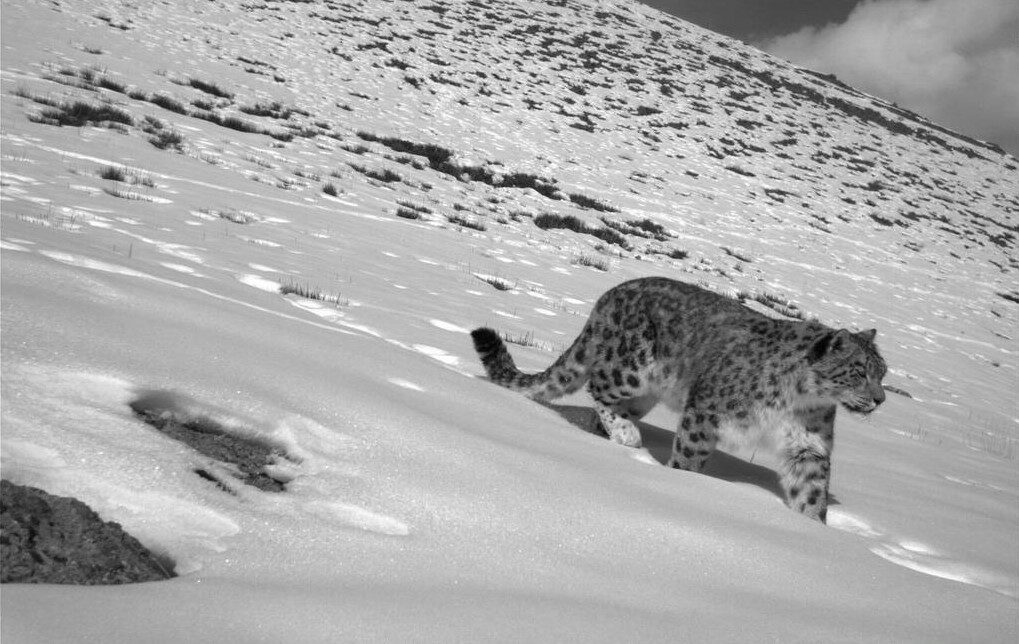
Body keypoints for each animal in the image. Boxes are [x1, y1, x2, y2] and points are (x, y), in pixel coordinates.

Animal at [472, 277, 888, 521]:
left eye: (883, 372)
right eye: (860, 371)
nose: (881, 400)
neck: (800, 400)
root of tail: (610, 294)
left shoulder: (808, 443)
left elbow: (811, 489)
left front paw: (811, 526)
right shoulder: (706, 412)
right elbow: (690, 457)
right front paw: (682, 485)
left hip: (644, 393)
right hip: (629, 370)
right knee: (598, 388)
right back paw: (627, 436)